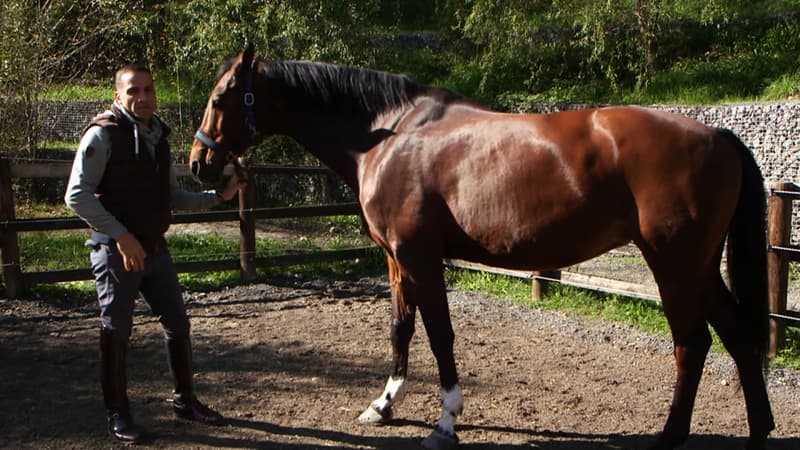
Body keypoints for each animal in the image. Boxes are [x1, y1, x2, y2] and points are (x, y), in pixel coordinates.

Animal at [189, 45, 776, 450]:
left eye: (219, 99)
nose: (199, 163)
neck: (389, 135)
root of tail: (720, 135)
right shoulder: (396, 259)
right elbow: (401, 330)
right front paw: (384, 405)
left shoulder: (420, 258)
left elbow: (441, 336)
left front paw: (446, 421)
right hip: (701, 268)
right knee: (739, 338)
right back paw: (759, 429)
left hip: (674, 265)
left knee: (692, 345)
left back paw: (670, 435)